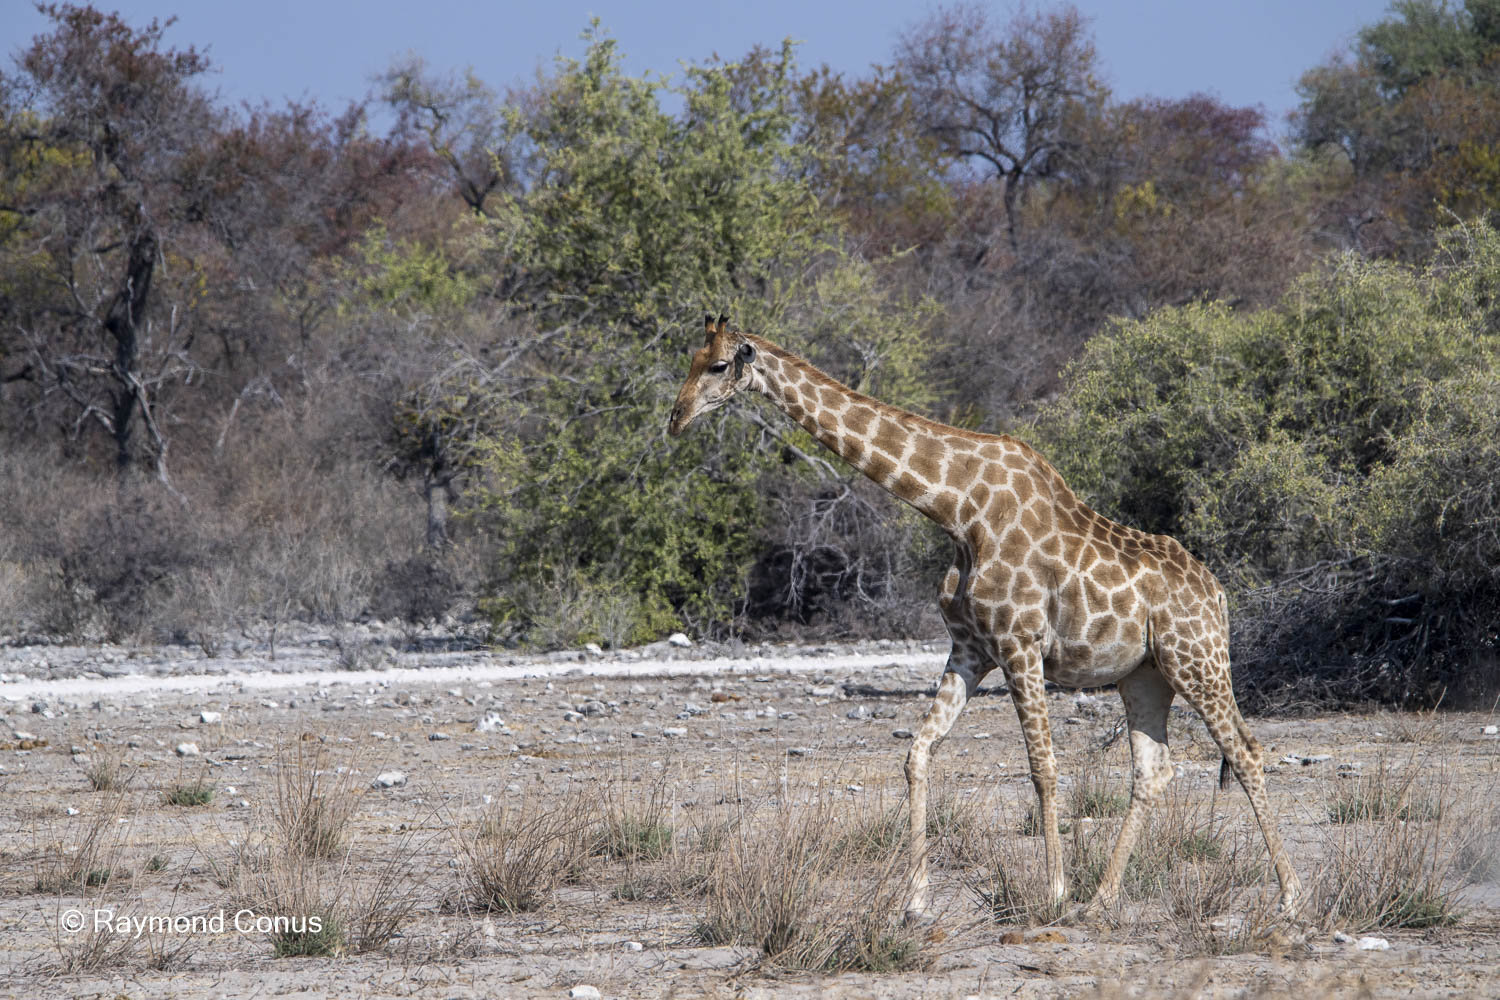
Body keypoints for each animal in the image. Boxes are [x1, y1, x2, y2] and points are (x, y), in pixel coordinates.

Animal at [669, 315, 1302, 924]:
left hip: (1196, 660)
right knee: (1153, 770)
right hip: (1144, 675)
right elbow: (917, 753)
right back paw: (1103, 901)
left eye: (719, 365)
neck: (957, 508)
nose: (676, 419)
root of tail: (1218, 594)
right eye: (691, 359)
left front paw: (1053, 892)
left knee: (1246, 752)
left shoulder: (1021, 644)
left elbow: (1043, 767)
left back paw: (1290, 897)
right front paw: (916, 899)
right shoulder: (971, 649)